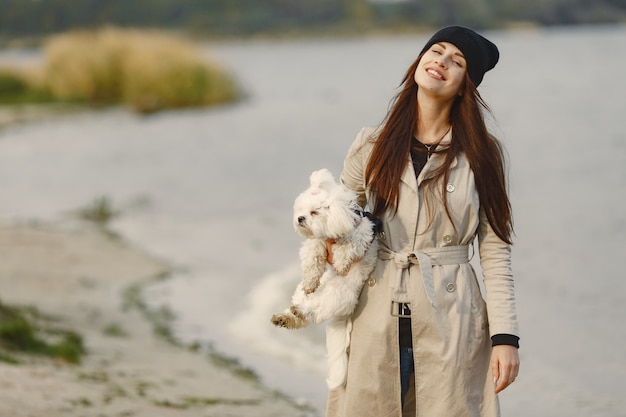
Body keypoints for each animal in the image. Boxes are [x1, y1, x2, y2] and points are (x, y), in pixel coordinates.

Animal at [268, 167, 376, 388]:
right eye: (300, 210)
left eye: (314, 212)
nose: (300, 219)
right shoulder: (317, 243)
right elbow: (312, 258)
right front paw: (311, 280)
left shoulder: (362, 235)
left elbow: (350, 244)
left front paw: (342, 261)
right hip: (304, 295)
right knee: (304, 310)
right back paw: (286, 316)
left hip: (335, 296)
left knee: (314, 313)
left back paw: (297, 313)